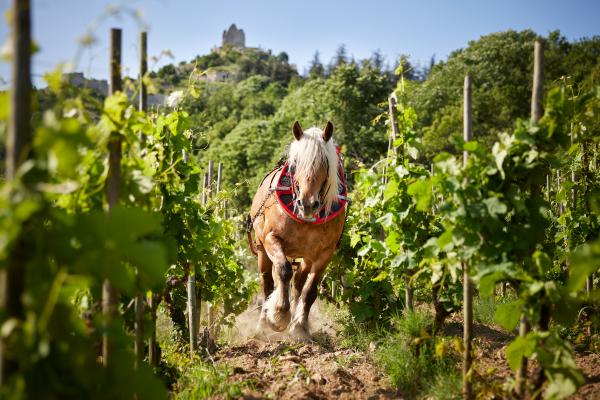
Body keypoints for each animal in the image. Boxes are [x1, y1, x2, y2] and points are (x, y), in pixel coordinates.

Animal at [246, 121, 344, 340]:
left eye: (325, 163)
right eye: (294, 164)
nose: (307, 204)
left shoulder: (325, 253)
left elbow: (310, 290)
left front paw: (300, 327)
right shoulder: (272, 239)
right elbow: (283, 270)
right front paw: (279, 315)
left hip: (305, 256)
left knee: (298, 283)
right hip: (262, 250)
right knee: (267, 283)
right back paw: (263, 323)